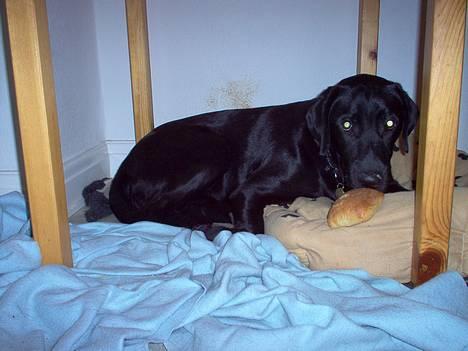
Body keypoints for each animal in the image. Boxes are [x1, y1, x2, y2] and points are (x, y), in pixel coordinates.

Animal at [109, 74, 416, 239]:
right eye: (347, 124)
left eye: (390, 123)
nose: (371, 179)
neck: (326, 159)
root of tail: (126, 163)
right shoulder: (248, 191)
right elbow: (253, 228)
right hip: (210, 149)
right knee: (153, 210)